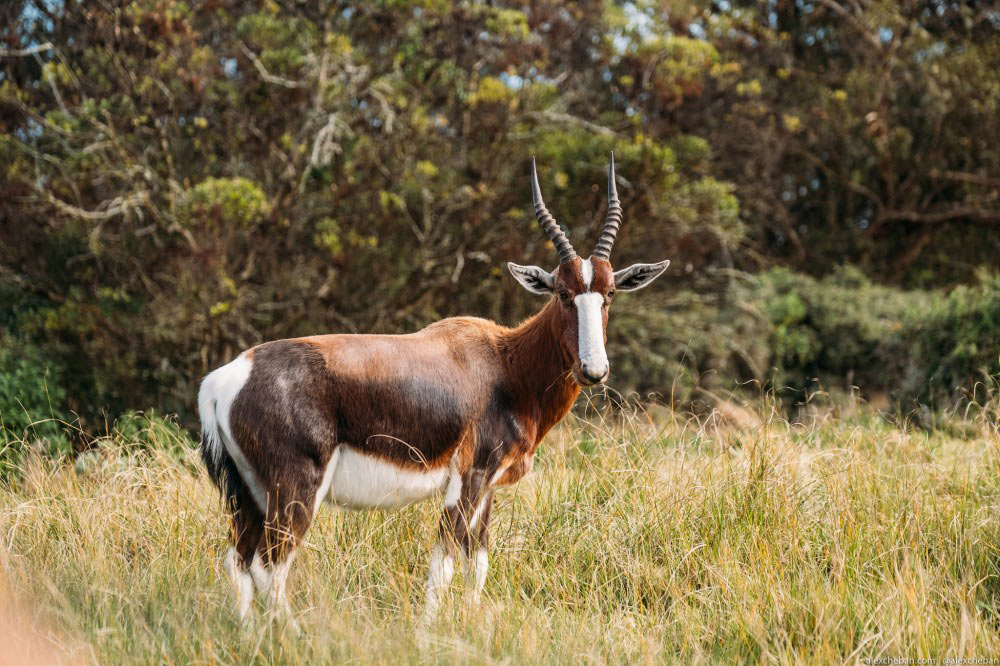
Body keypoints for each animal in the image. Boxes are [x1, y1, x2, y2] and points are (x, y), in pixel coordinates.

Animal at [199, 156, 672, 624]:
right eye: (562, 292)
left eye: (609, 292)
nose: (594, 370)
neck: (503, 363)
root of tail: (225, 380)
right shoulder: (469, 481)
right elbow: (443, 565)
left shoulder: (488, 489)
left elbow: (477, 564)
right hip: (295, 489)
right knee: (269, 565)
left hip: (250, 496)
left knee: (238, 561)